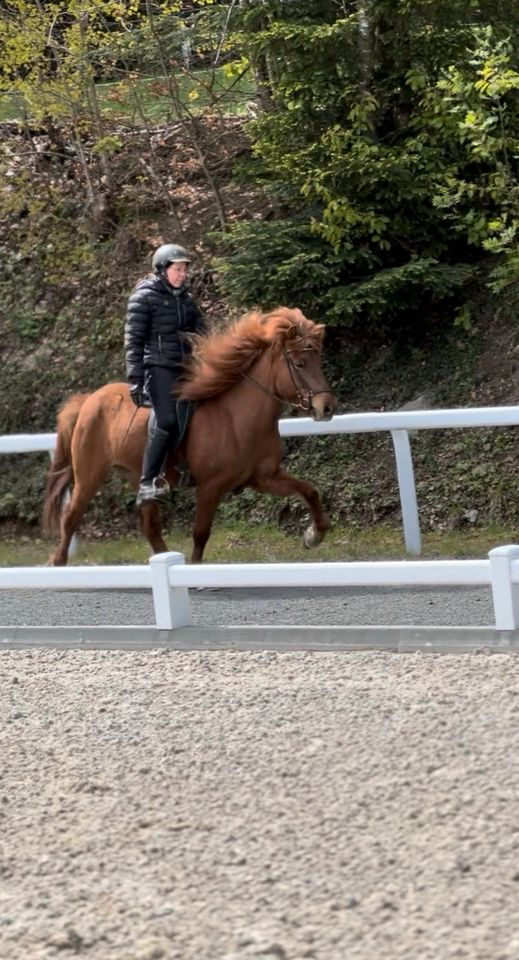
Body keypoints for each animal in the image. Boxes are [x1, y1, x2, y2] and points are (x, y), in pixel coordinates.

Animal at [43, 306, 338, 564]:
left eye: (319, 361)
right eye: (299, 363)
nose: (326, 407)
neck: (236, 418)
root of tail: (89, 400)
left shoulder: (265, 478)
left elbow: (309, 490)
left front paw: (314, 535)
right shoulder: (210, 486)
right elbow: (201, 534)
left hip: (140, 477)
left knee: (149, 525)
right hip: (89, 476)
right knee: (71, 518)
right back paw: (58, 563)